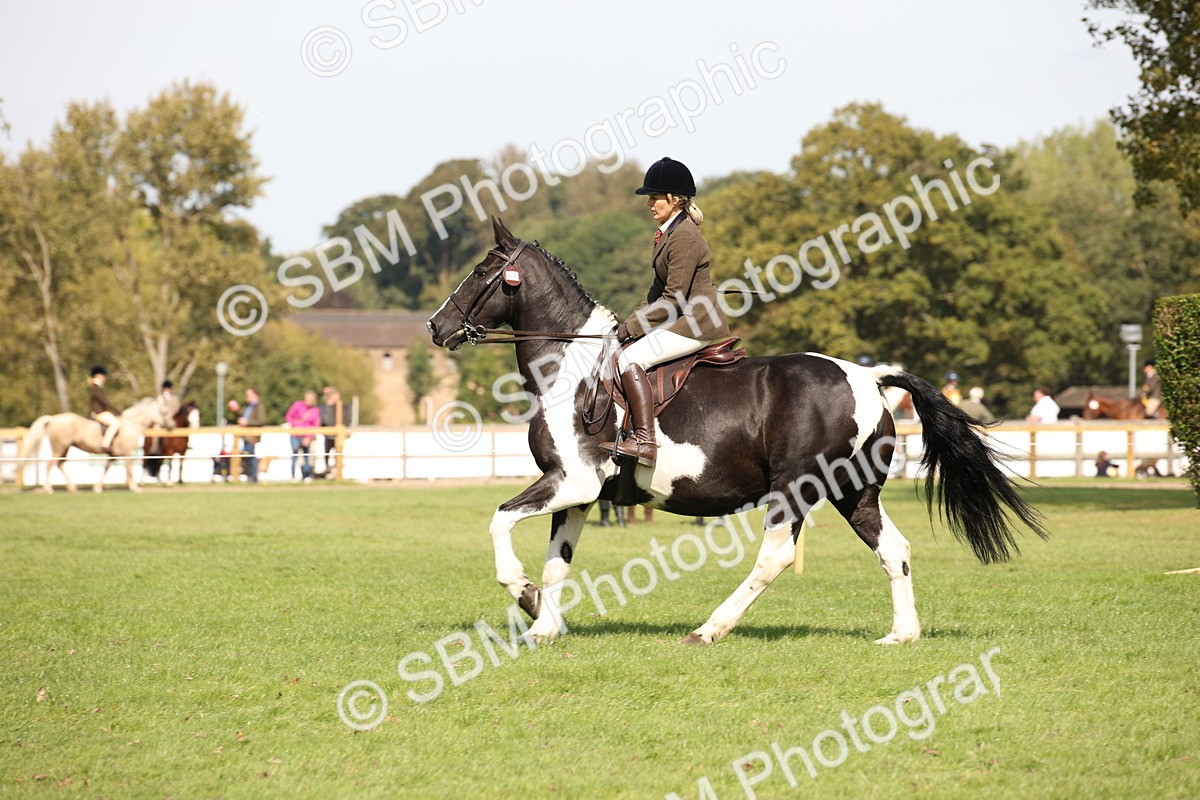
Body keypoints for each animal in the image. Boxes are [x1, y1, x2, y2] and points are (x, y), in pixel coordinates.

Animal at [19, 396, 178, 494]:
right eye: (164, 411)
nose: (172, 426)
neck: (131, 425)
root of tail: (52, 419)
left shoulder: (113, 455)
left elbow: (107, 468)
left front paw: (97, 487)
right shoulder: (128, 453)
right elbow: (130, 471)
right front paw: (135, 488)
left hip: (65, 448)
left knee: (60, 465)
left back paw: (72, 487)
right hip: (59, 447)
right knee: (50, 465)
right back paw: (49, 489)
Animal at [426, 218, 1048, 646]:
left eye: (480, 272)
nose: (436, 326)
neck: (569, 369)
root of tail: (869, 376)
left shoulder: (572, 482)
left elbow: (500, 522)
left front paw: (525, 596)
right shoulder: (577, 494)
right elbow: (558, 562)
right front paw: (543, 625)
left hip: (795, 488)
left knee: (774, 558)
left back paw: (709, 629)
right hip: (854, 491)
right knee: (893, 549)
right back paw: (901, 634)